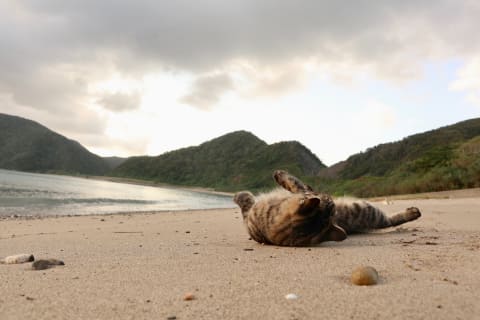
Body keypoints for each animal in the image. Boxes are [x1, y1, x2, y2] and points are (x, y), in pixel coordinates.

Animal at [232, 170, 420, 248]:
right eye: (328, 200)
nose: (328, 195)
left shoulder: (302, 191)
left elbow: (293, 182)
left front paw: (280, 175)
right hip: (369, 211)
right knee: (388, 221)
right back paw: (413, 213)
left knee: (388, 221)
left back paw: (413, 212)